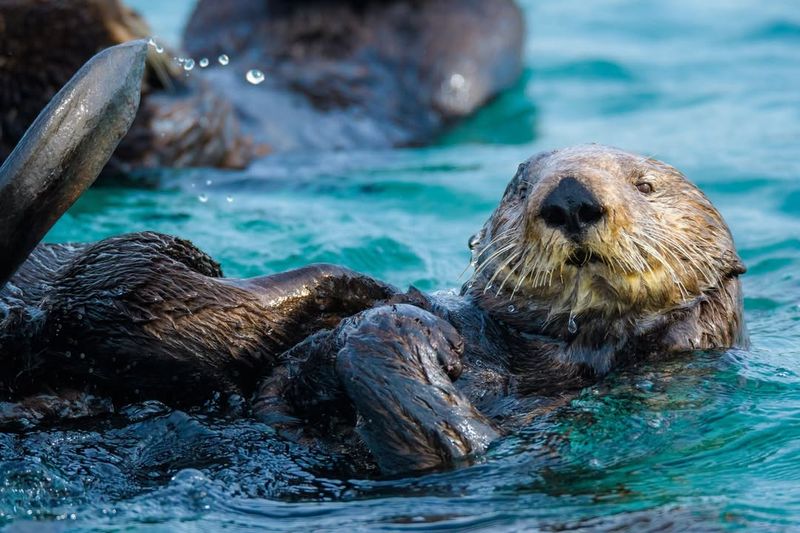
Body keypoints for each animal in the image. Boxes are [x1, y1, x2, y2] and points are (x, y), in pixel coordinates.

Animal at [0, 42, 744, 474]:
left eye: (645, 186)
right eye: (519, 187)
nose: (569, 197)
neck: (536, 351)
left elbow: (441, 442)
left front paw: (398, 327)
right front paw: (394, 307)